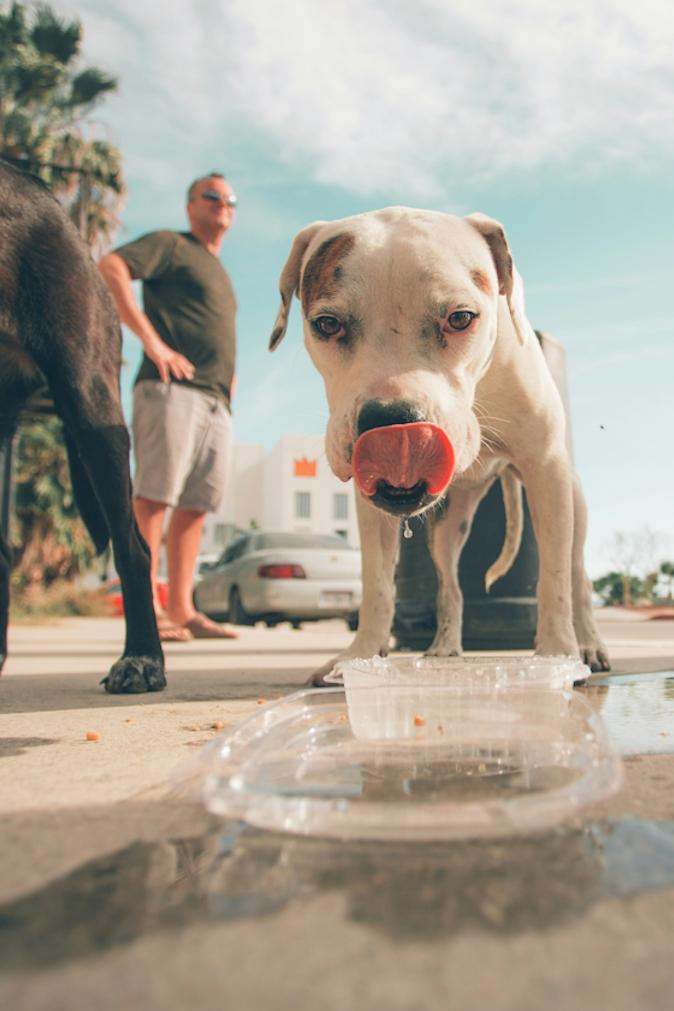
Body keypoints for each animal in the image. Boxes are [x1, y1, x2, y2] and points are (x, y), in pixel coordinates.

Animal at [270, 213, 610, 687]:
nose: (394, 423)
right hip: (448, 527)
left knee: (577, 576)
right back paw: (445, 647)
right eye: (327, 324)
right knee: (450, 586)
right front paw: (360, 656)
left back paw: (590, 645)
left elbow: (554, 580)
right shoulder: (371, 509)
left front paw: (558, 655)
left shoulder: (546, 469)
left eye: (461, 318)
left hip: (571, 504)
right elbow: (376, 586)